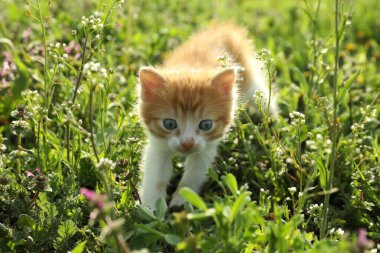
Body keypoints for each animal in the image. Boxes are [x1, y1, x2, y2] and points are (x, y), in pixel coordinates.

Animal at [138, 23, 278, 210]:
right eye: (169, 124)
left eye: (205, 125)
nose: (187, 144)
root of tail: (224, 28)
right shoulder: (158, 145)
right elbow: (156, 174)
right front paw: (152, 206)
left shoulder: (206, 148)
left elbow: (194, 173)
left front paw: (182, 200)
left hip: (249, 81)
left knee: (261, 95)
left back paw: (274, 120)